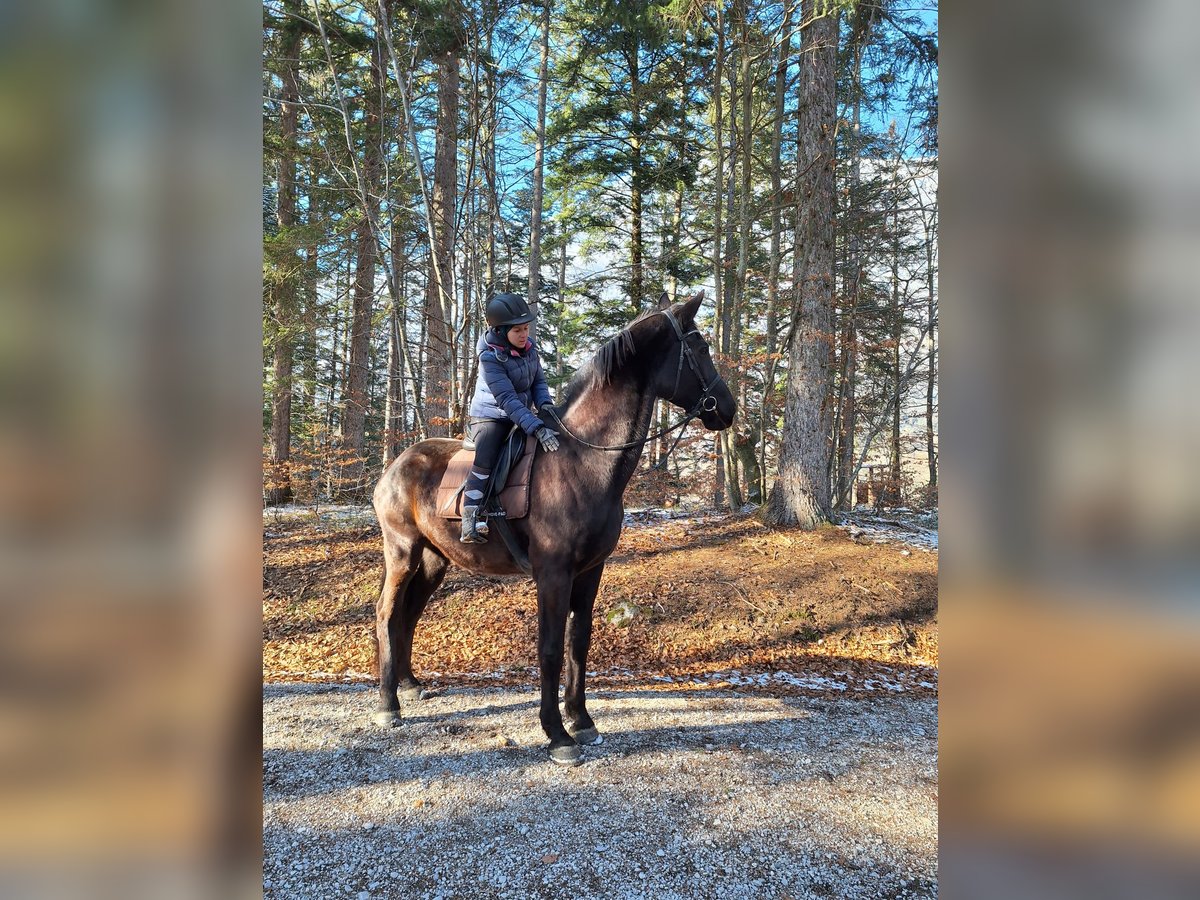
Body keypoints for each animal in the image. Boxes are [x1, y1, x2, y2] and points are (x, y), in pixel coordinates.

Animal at [369, 292, 734, 763]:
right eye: (701, 348)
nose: (727, 408)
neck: (584, 461)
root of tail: (395, 466)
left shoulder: (590, 572)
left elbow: (578, 643)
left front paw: (581, 720)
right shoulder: (553, 574)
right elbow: (550, 650)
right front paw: (557, 734)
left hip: (434, 559)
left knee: (409, 614)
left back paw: (410, 686)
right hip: (403, 551)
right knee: (387, 612)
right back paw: (387, 704)